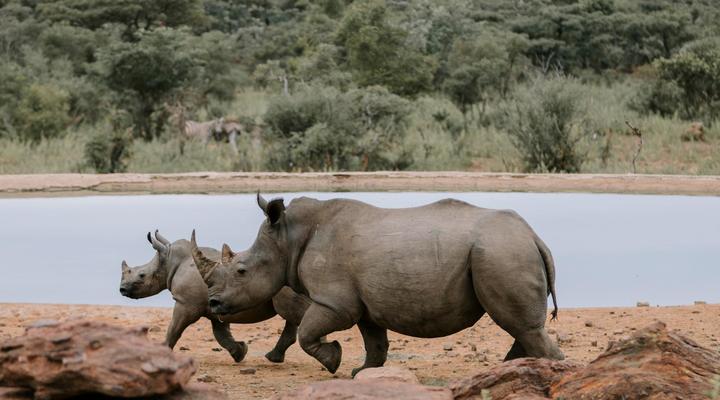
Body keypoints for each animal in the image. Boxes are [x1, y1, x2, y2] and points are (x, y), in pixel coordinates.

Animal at [119, 230, 310, 363]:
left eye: (141, 275)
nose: (122, 289)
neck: (169, 261)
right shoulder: (215, 306)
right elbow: (221, 335)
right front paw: (240, 352)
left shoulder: (186, 303)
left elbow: (174, 328)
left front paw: (163, 352)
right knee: (292, 315)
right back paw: (274, 358)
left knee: (293, 312)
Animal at [193, 195, 565, 375]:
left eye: (241, 270)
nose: (213, 304)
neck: (287, 238)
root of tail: (534, 236)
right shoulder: (364, 304)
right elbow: (375, 342)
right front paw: (361, 373)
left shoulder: (334, 302)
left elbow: (307, 333)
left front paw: (333, 361)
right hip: (503, 251)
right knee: (521, 327)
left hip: (501, 252)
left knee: (523, 326)